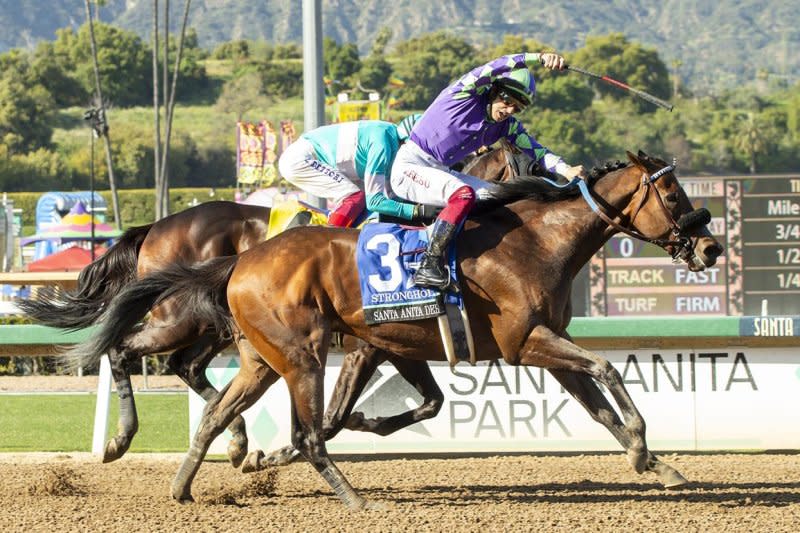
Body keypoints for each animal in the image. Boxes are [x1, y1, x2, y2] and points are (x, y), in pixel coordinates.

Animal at [70, 150, 724, 508]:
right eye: (671, 192)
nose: (711, 246)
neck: (536, 241)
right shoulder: (522, 344)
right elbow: (608, 369)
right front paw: (643, 442)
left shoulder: (463, 344)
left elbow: (594, 405)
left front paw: (655, 463)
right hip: (251, 340)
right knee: (135, 353)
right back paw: (126, 440)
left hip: (259, 354)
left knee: (210, 400)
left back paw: (204, 471)